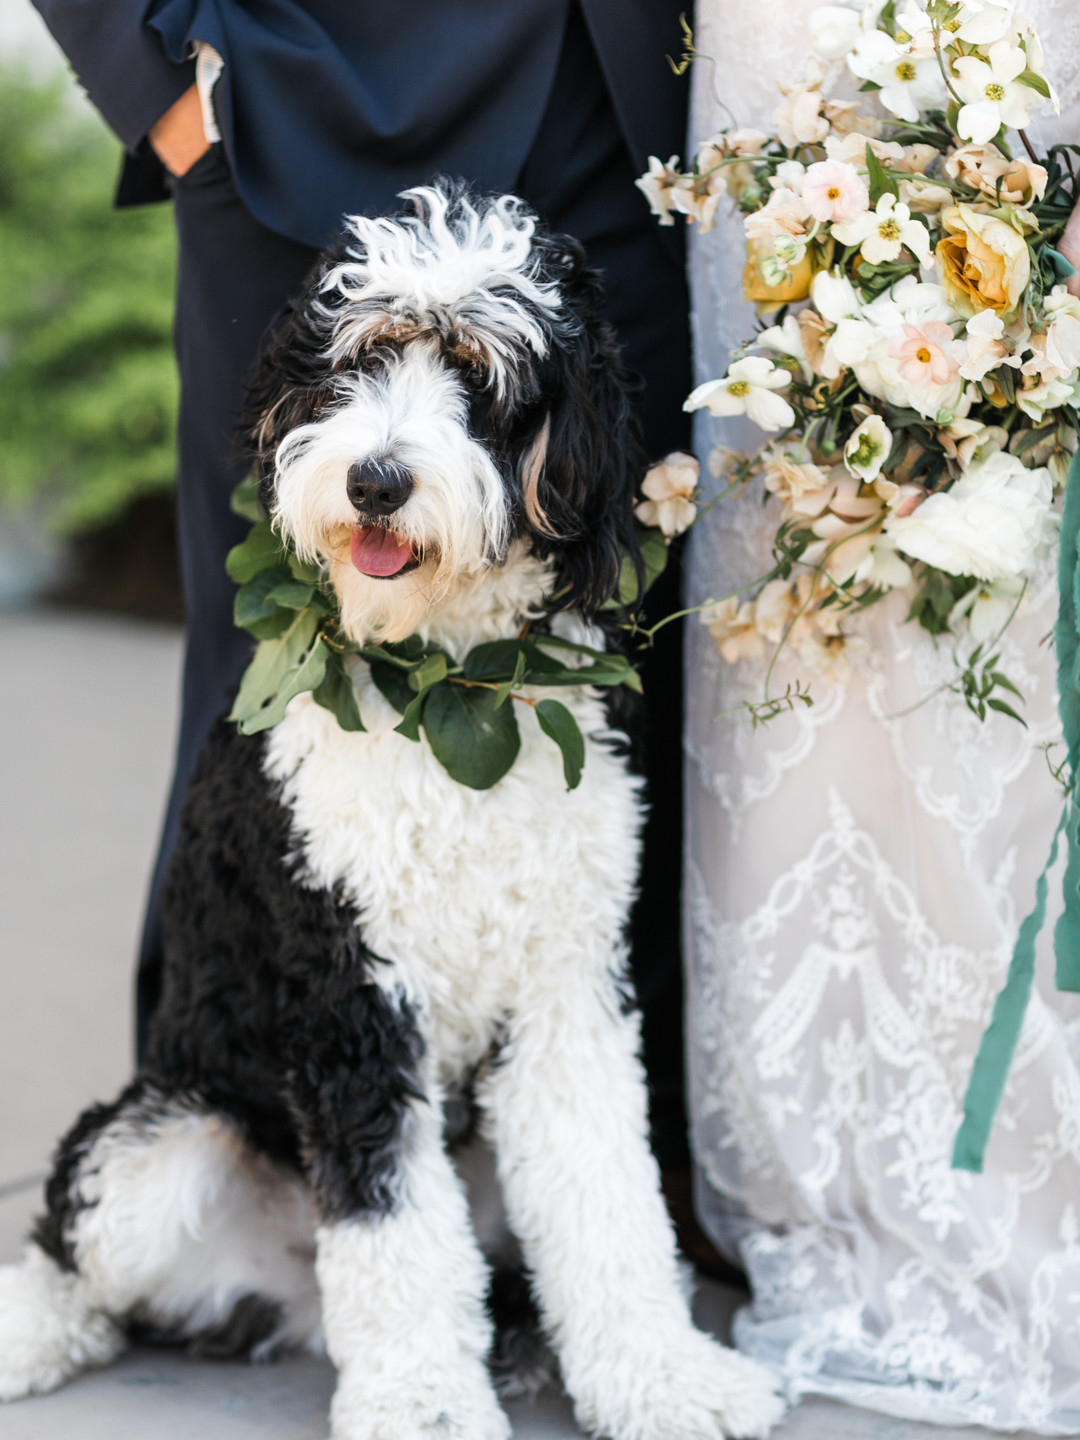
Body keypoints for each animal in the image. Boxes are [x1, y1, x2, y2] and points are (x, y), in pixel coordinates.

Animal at [0, 185, 783, 1440]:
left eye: (479, 376)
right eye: (359, 359)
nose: (373, 481)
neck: (447, 694)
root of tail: (287, 1298)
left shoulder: (569, 993)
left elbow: (609, 1203)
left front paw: (666, 1378)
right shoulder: (352, 999)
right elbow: (393, 1229)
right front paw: (422, 1402)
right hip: (161, 1140)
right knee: (82, 1266)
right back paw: (30, 1332)